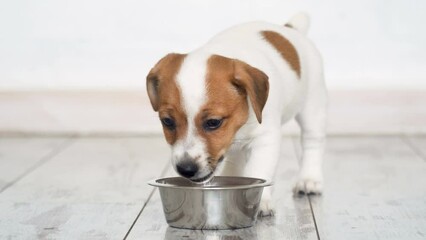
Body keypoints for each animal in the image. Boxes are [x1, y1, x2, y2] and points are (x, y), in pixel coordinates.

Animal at [146, 13, 326, 216]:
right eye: (167, 121)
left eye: (213, 122)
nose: (186, 169)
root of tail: (290, 28)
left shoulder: (265, 139)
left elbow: (259, 169)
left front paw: (260, 201)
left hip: (313, 107)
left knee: (312, 142)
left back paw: (309, 179)